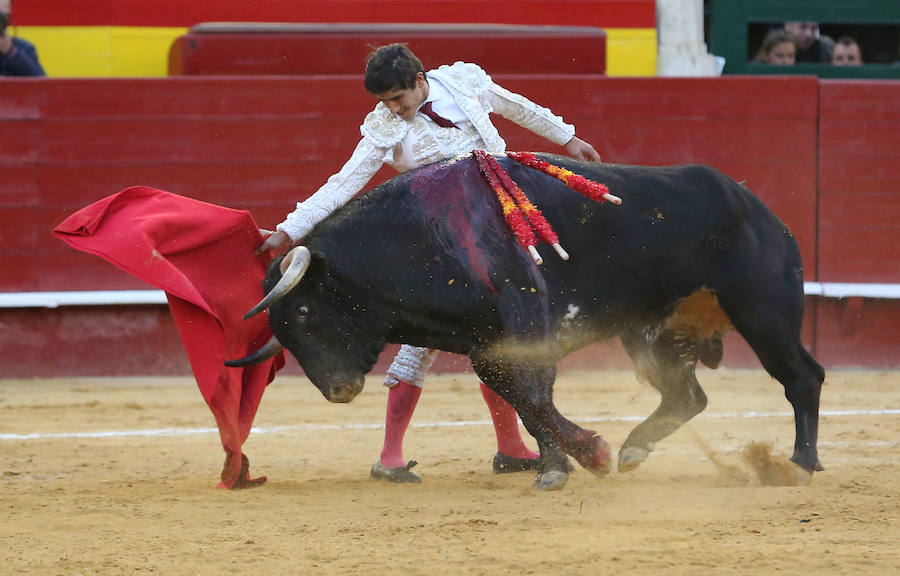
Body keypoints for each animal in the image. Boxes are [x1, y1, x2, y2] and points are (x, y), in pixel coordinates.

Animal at [230, 154, 824, 490]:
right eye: (282, 334)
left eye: (304, 310)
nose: (338, 390)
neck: (425, 235)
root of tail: (759, 208)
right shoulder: (486, 344)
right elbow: (519, 395)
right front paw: (561, 461)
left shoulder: (527, 317)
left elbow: (534, 393)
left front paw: (581, 457)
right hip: (652, 333)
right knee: (687, 395)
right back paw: (634, 449)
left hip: (763, 312)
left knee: (802, 376)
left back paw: (800, 463)